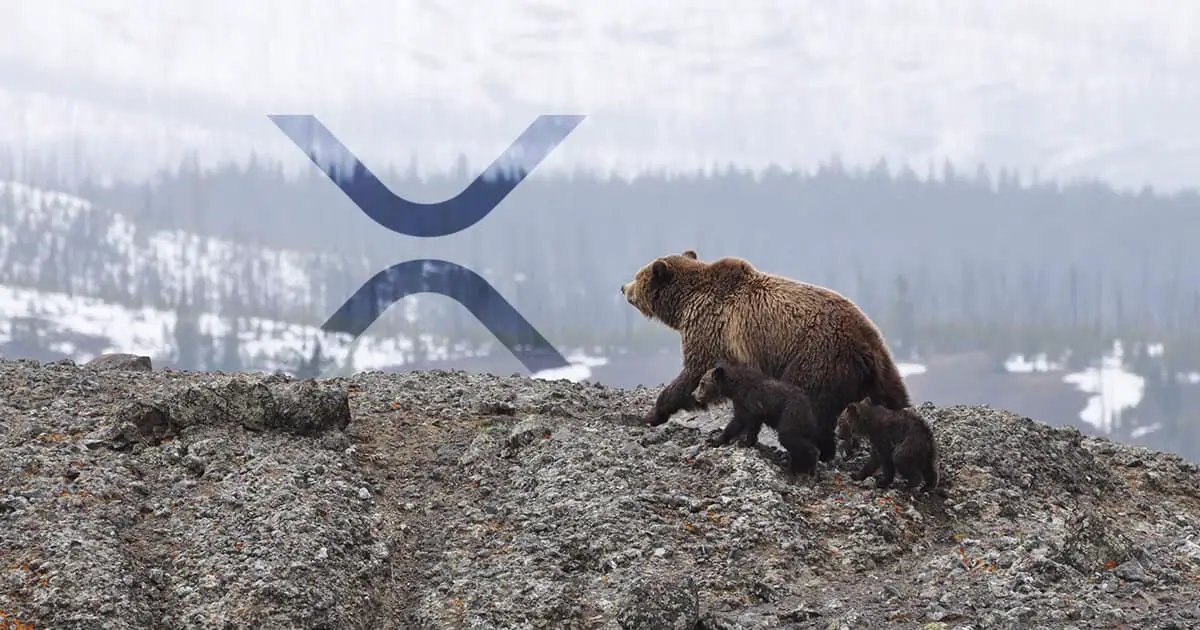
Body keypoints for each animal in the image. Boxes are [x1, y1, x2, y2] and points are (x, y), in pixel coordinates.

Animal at [620, 249, 910, 462]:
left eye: (638, 275)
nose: (623, 287)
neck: (685, 305)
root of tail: (865, 345)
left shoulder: (711, 331)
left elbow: (693, 372)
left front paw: (653, 413)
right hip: (881, 368)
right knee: (895, 398)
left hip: (816, 357)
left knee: (810, 405)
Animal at [691, 361, 821, 477]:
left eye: (702, 383)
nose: (694, 394)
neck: (734, 387)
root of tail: (810, 408)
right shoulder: (740, 402)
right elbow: (737, 422)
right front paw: (715, 440)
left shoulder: (753, 400)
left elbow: (750, 420)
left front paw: (744, 442)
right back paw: (797, 467)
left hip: (791, 413)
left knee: (788, 436)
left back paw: (810, 465)